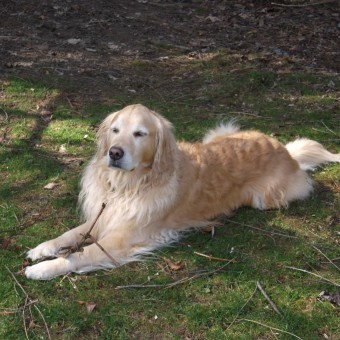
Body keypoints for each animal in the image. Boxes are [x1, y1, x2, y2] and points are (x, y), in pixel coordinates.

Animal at [25, 105, 340, 280]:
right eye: (115, 130)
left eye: (140, 133)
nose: (114, 153)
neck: (130, 184)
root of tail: (285, 150)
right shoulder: (104, 216)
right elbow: (68, 235)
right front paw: (42, 249)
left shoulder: (122, 238)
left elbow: (79, 255)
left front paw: (43, 269)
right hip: (218, 133)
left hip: (266, 199)